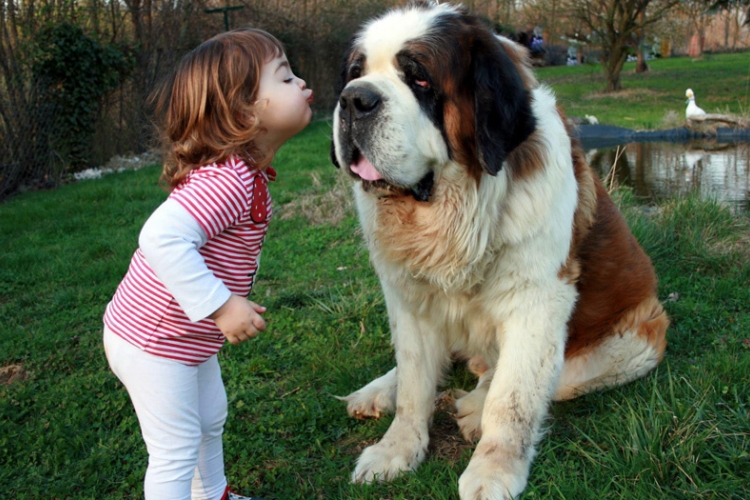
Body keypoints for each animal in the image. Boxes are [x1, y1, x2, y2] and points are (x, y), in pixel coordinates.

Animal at [332, 1, 672, 498]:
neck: (455, 212)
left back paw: (474, 404)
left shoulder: (539, 303)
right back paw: (377, 391)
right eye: (355, 74)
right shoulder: (409, 299)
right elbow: (414, 382)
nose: (354, 99)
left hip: (639, 339)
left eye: (419, 79)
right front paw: (396, 449)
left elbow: (512, 399)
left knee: (537, 379)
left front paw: (493, 471)